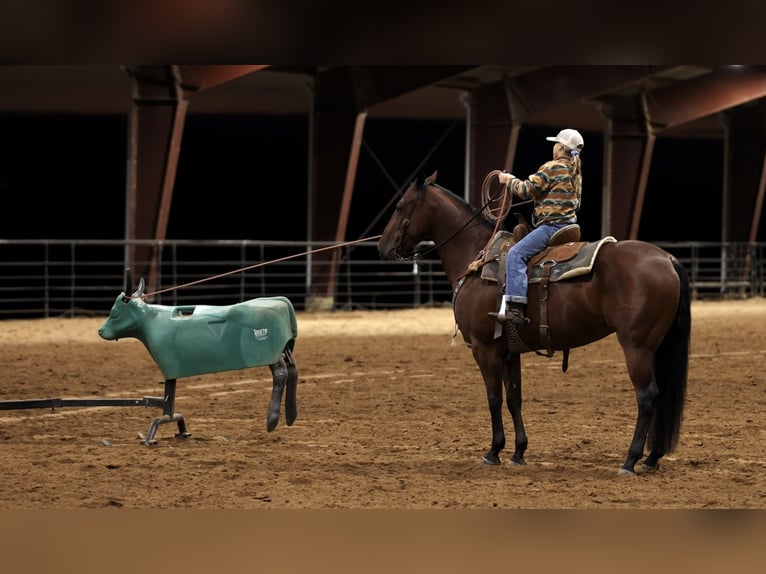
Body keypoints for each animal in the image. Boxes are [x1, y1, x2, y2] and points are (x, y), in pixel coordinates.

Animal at [377, 171, 690, 475]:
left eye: (400, 206)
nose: (382, 247)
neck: (477, 256)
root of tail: (667, 258)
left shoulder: (483, 348)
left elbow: (493, 398)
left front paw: (493, 452)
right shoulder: (508, 350)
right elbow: (514, 398)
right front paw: (518, 452)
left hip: (636, 346)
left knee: (647, 396)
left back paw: (631, 460)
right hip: (657, 346)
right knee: (661, 396)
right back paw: (652, 458)